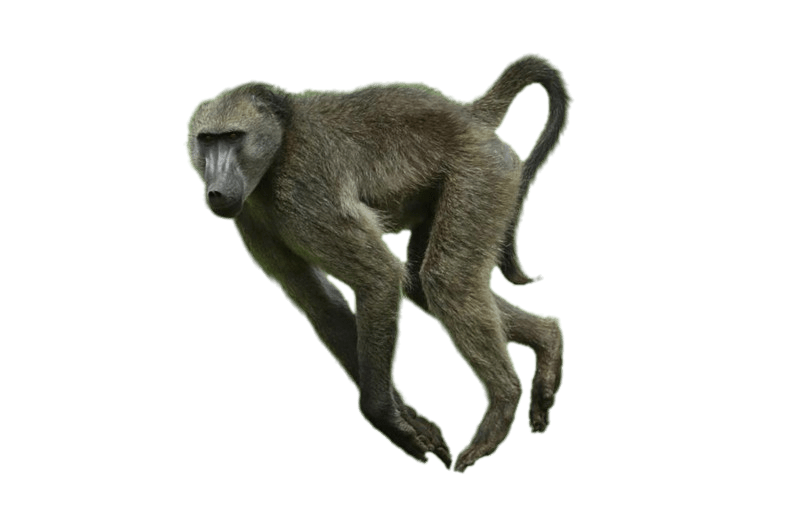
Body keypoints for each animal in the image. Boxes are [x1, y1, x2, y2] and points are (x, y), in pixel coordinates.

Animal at [184, 52, 573, 474]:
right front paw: (414, 422)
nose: (216, 192)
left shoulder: (303, 189)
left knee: (445, 280)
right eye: (207, 140)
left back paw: (504, 402)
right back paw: (548, 340)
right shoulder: (251, 215)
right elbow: (322, 305)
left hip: (482, 172)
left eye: (233, 137)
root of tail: (467, 112)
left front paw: (386, 419)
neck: (279, 145)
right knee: (422, 283)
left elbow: (379, 278)